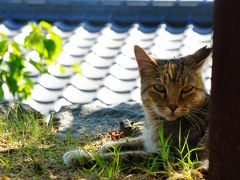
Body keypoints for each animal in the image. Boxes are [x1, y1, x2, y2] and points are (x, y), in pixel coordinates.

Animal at [62, 45, 211, 170]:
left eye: (187, 89)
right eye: (159, 87)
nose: (173, 106)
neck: (155, 122)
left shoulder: (171, 157)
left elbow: (123, 157)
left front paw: (81, 156)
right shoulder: (147, 140)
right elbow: (133, 140)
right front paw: (109, 146)